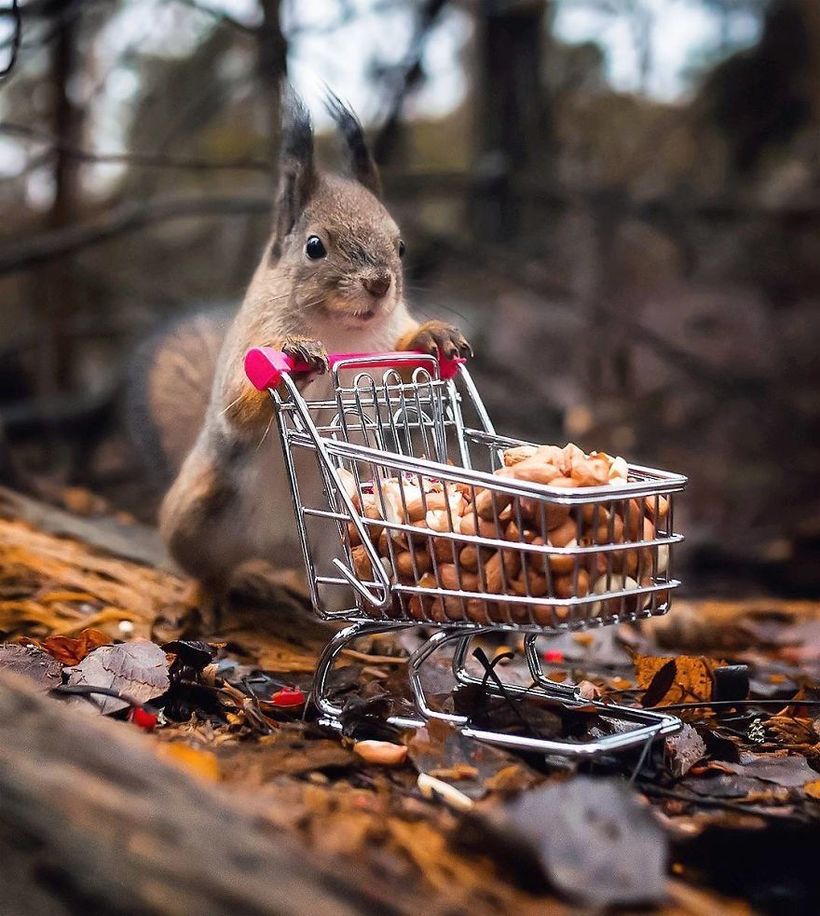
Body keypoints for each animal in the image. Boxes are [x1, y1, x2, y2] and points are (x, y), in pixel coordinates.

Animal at [132, 93, 470, 616]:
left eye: (400, 246)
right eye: (315, 247)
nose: (380, 284)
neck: (340, 332)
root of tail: (283, 552)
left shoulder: (382, 353)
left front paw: (432, 337)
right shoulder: (253, 344)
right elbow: (239, 407)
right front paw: (298, 358)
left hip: (355, 540)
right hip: (196, 515)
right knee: (208, 566)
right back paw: (205, 596)